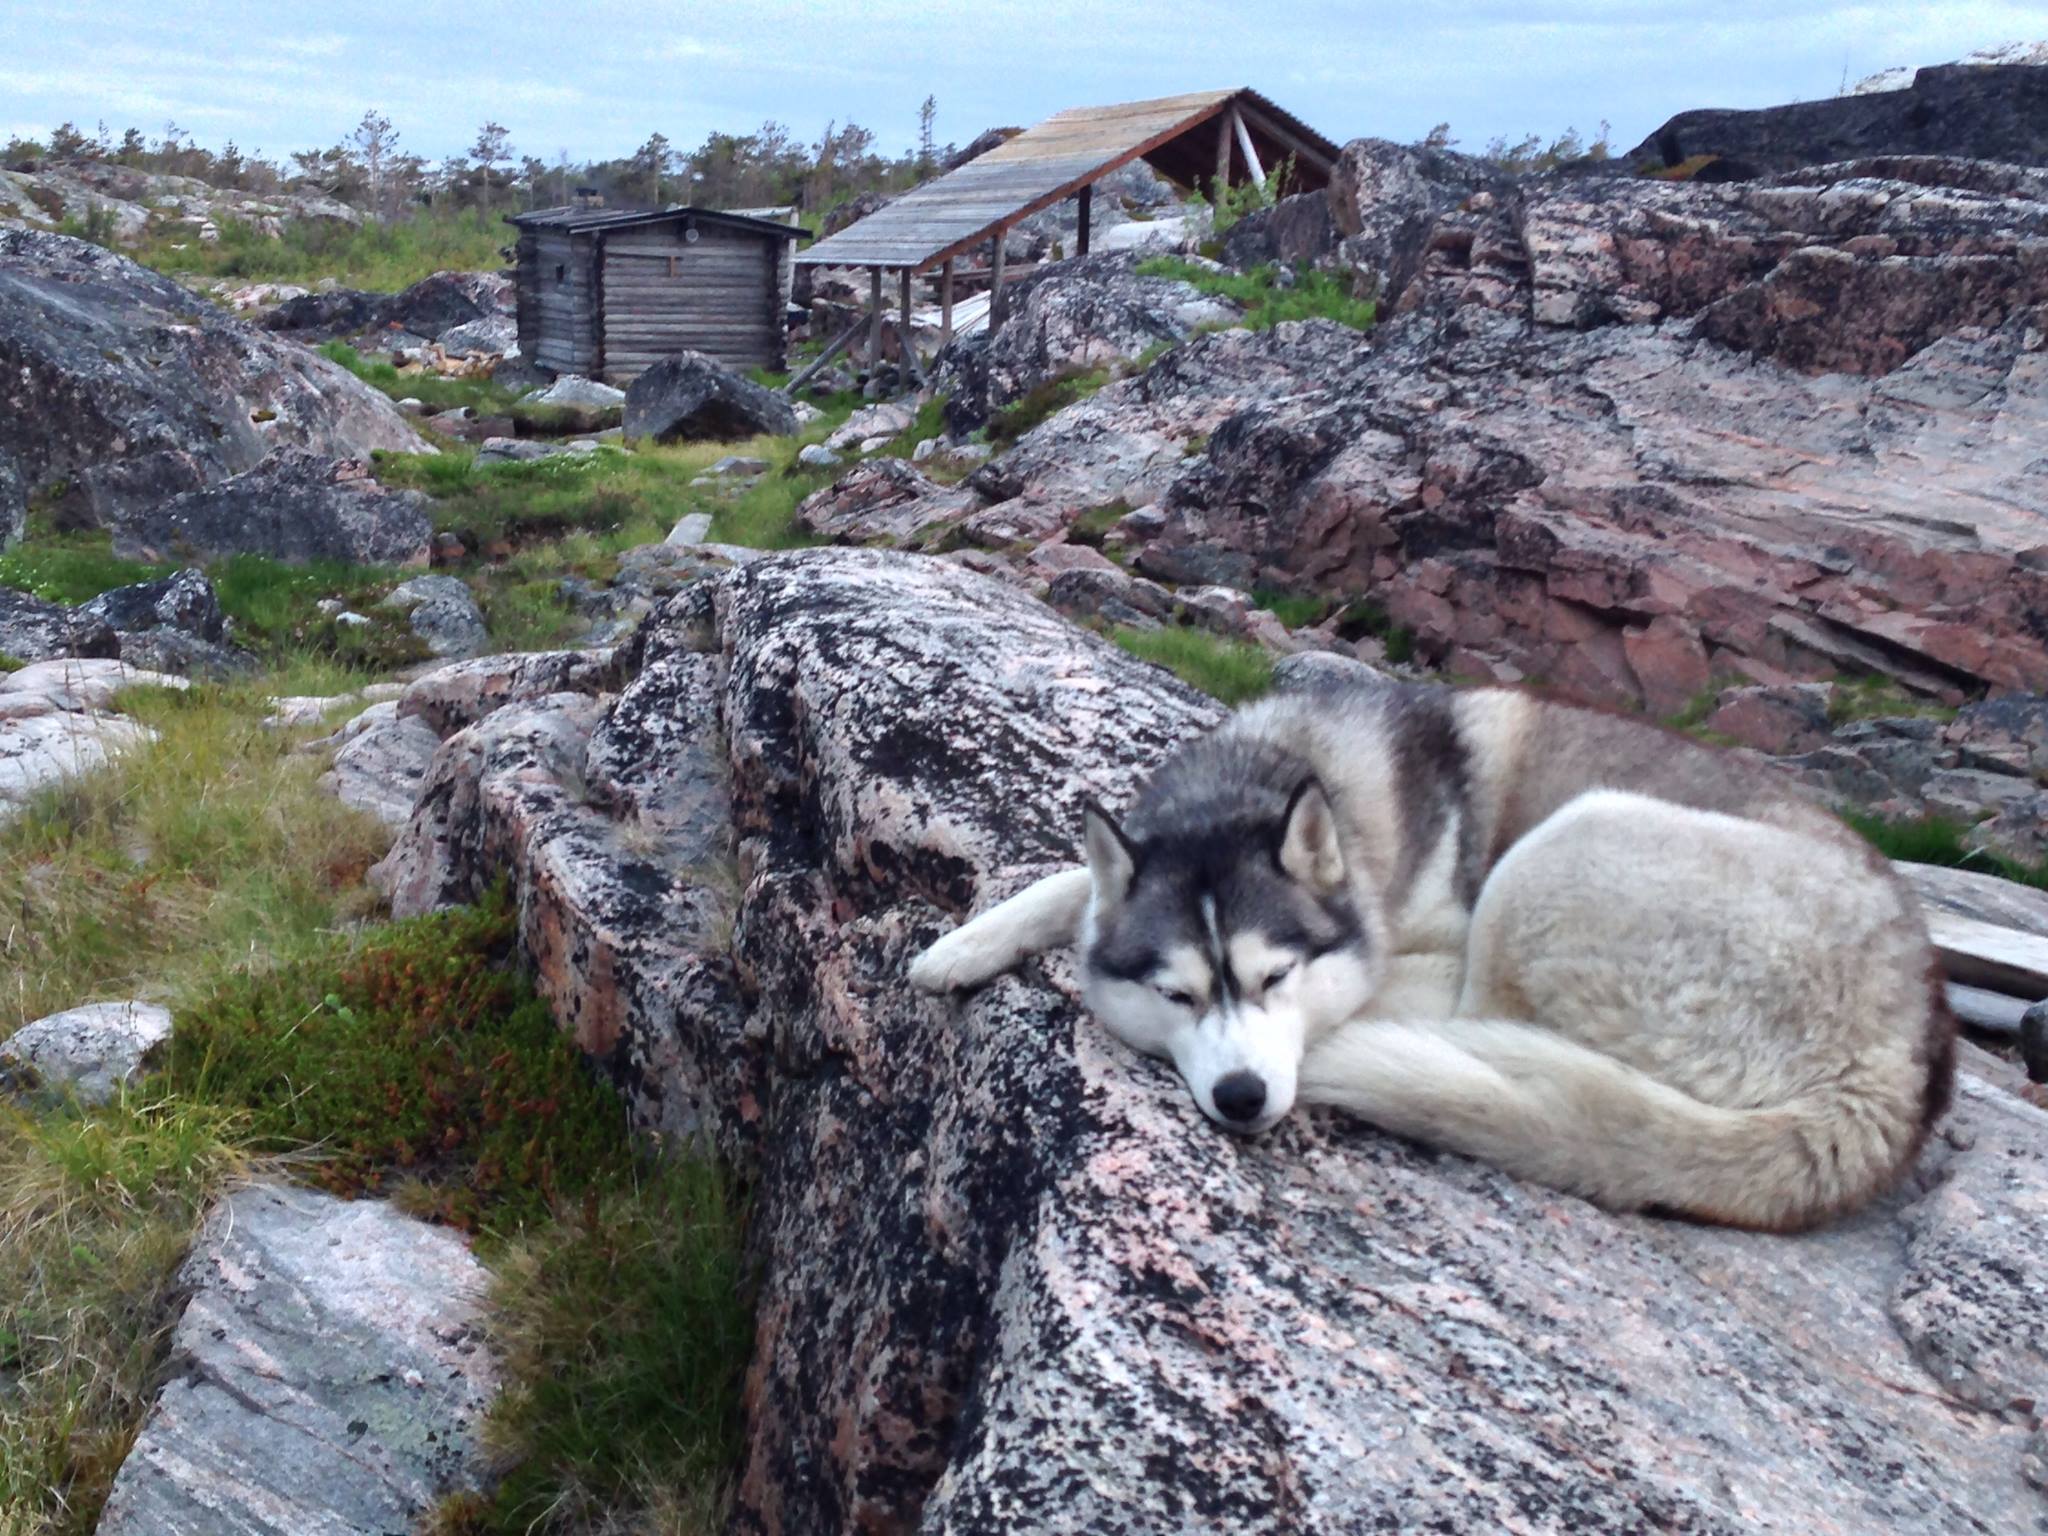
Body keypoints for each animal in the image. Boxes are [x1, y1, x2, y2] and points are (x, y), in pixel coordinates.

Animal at [909, 679, 1949, 1236]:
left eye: (1275, 977)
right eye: (1178, 993)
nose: (1244, 1097)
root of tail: (1902, 1071)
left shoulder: (1432, 951)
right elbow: (1069, 887)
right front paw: (963, 945)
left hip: (1563, 850)